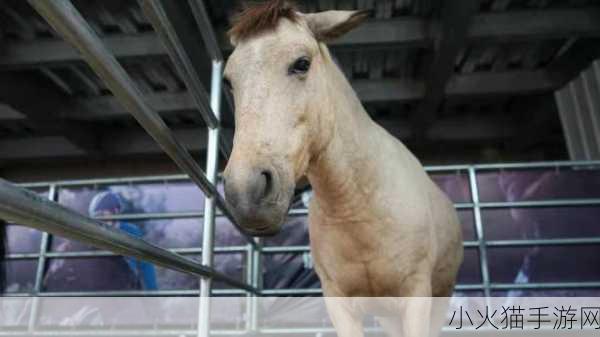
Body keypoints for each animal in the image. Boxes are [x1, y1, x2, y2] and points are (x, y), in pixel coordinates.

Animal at [223, 1, 462, 334]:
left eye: (302, 63)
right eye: (228, 81)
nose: (246, 190)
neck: (357, 203)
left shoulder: (416, 297)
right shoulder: (340, 305)